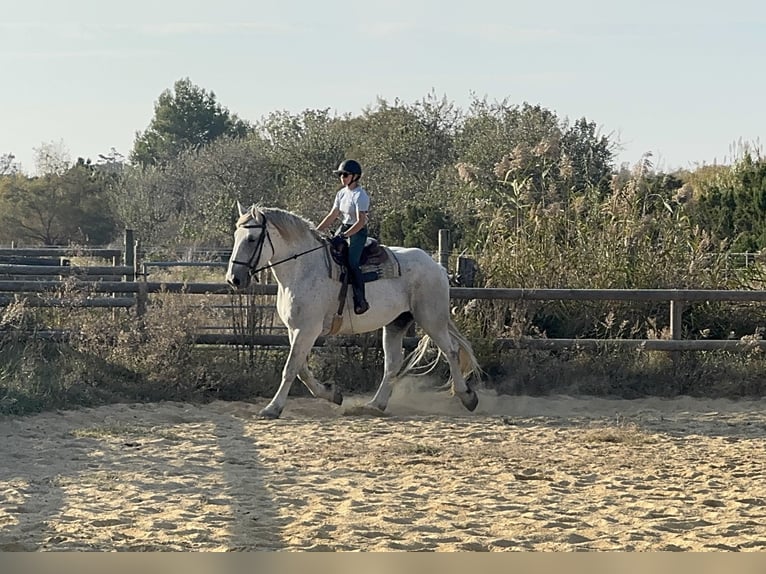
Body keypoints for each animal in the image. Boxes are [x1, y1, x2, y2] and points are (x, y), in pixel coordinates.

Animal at [225, 203, 480, 419]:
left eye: (252, 238)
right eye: (236, 237)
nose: (233, 279)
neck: (303, 269)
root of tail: (436, 266)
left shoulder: (307, 330)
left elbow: (290, 369)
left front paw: (272, 408)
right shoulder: (295, 329)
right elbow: (302, 370)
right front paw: (332, 394)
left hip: (431, 319)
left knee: (451, 351)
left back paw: (467, 397)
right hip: (397, 323)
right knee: (393, 363)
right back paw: (375, 405)